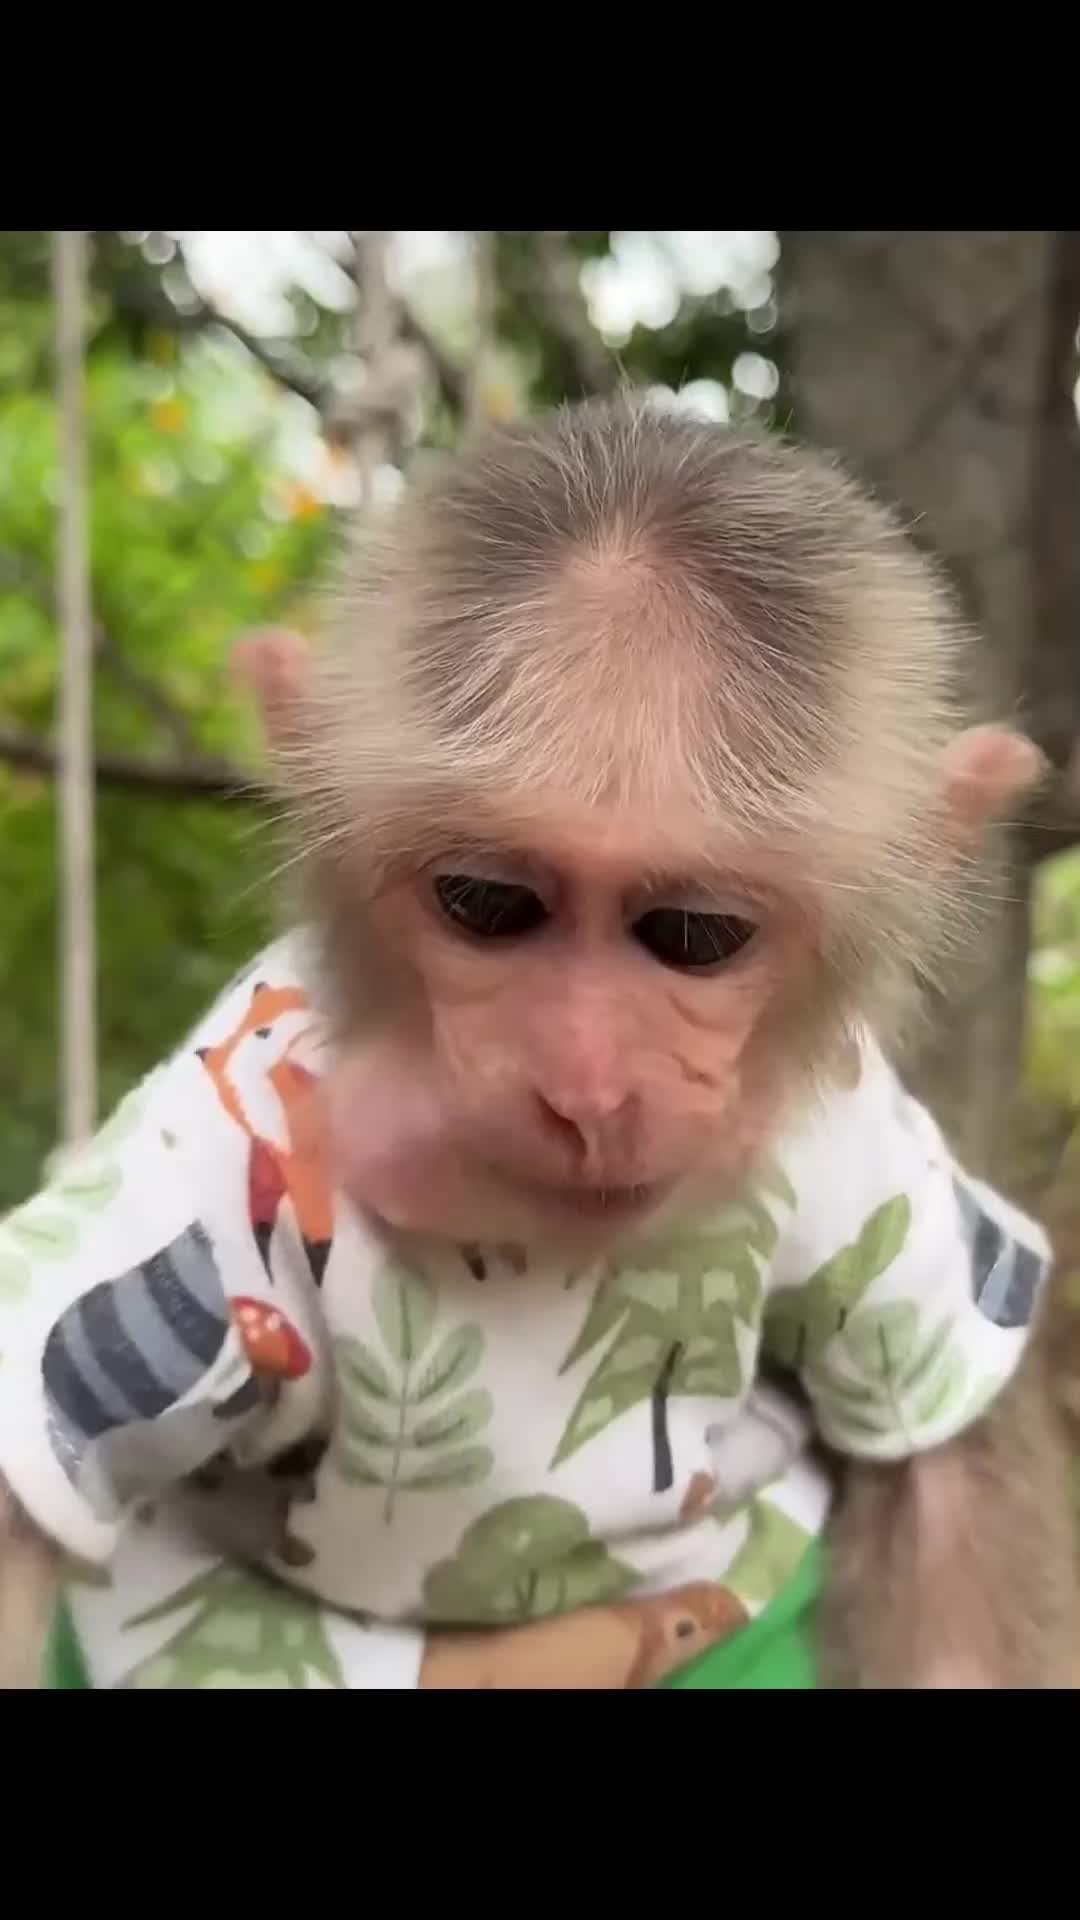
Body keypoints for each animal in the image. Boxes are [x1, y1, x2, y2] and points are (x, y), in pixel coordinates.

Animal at [1, 393, 1077, 1690]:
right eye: (486, 904)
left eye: (695, 935)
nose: (585, 1086)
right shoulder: (200, 1170)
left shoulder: (859, 1150)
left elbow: (936, 1473)